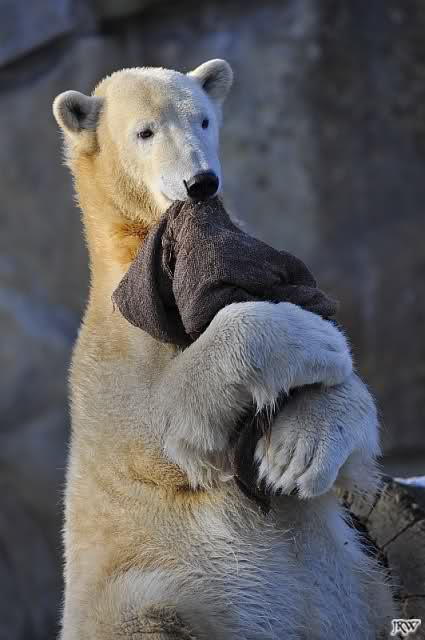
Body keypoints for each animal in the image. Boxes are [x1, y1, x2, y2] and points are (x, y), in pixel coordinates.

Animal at [53, 59, 394, 639]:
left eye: (205, 120)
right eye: (145, 132)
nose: (201, 182)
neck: (132, 247)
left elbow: (350, 420)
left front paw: (293, 455)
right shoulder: (113, 365)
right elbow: (163, 423)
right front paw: (315, 339)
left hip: (360, 587)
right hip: (147, 588)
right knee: (149, 610)